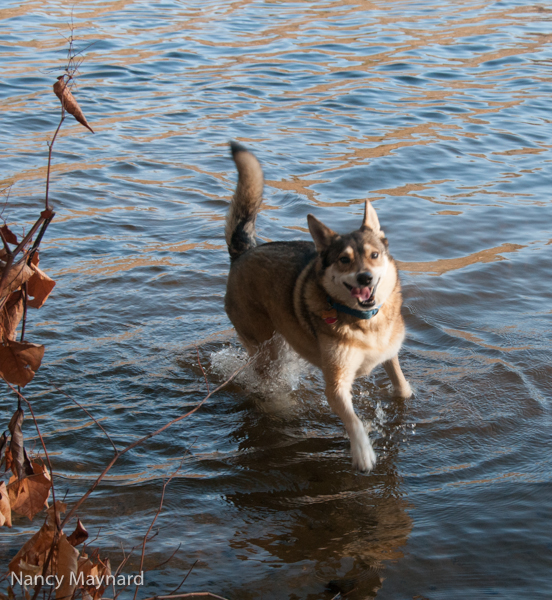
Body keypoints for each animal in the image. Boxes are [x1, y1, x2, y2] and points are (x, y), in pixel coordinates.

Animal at [223, 143, 410, 472]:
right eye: (344, 259)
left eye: (374, 255)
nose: (365, 277)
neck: (364, 320)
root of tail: (244, 251)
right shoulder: (336, 382)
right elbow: (352, 419)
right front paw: (363, 452)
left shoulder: (388, 353)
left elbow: (401, 384)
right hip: (265, 348)